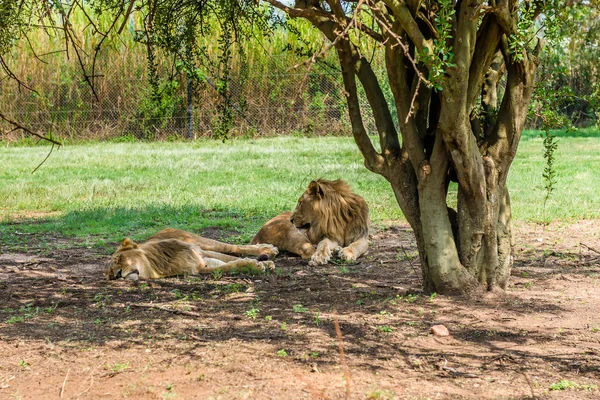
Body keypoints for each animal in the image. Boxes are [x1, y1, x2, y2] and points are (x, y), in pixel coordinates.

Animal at [106, 228, 278, 282]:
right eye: (111, 275)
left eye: (119, 259)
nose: (118, 275)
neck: (156, 264)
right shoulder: (199, 267)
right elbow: (231, 264)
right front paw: (258, 264)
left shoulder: (199, 251)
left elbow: (233, 258)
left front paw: (263, 263)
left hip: (200, 241)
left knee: (232, 247)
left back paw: (268, 249)